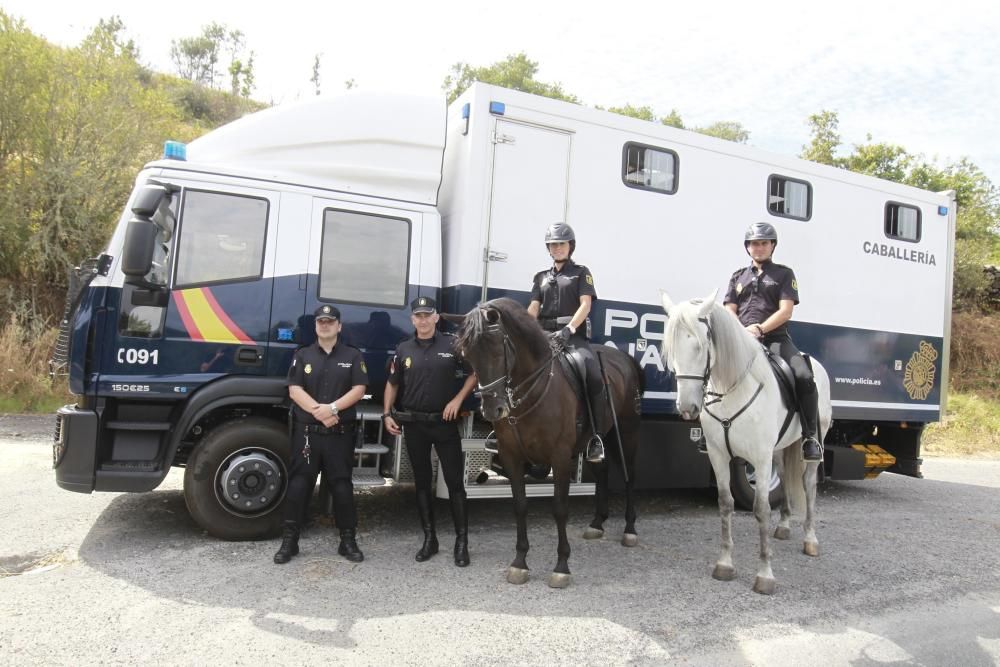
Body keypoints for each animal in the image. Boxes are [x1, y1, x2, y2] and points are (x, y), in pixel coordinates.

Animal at [446, 300, 640, 588]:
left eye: (497, 349)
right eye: (466, 354)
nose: (493, 410)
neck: (533, 392)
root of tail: (627, 360)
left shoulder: (559, 457)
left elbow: (559, 509)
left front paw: (561, 567)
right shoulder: (511, 456)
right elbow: (520, 506)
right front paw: (519, 563)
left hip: (625, 433)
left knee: (630, 477)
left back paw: (630, 529)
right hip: (596, 439)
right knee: (603, 470)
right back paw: (597, 524)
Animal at [660, 288, 832, 596]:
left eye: (701, 346)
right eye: (671, 349)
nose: (687, 408)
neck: (731, 390)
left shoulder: (760, 460)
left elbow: (761, 509)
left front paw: (765, 575)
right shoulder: (718, 456)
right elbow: (725, 503)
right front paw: (725, 564)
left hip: (813, 441)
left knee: (809, 485)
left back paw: (810, 540)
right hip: (779, 449)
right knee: (785, 478)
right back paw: (784, 526)